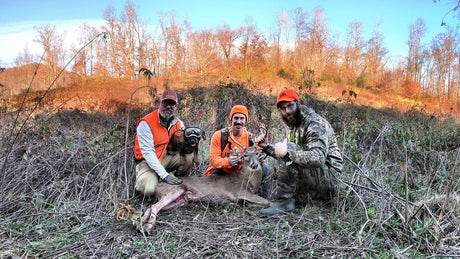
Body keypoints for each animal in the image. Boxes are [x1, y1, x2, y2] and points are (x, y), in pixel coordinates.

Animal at [144, 146, 272, 234]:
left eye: (257, 153)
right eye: (245, 155)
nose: (254, 165)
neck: (250, 181)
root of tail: (157, 187)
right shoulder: (240, 191)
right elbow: (268, 201)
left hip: (182, 200)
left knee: (151, 206)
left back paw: (142, 221)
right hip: (175, 189)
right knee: (154, 206)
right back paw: (148, 228)